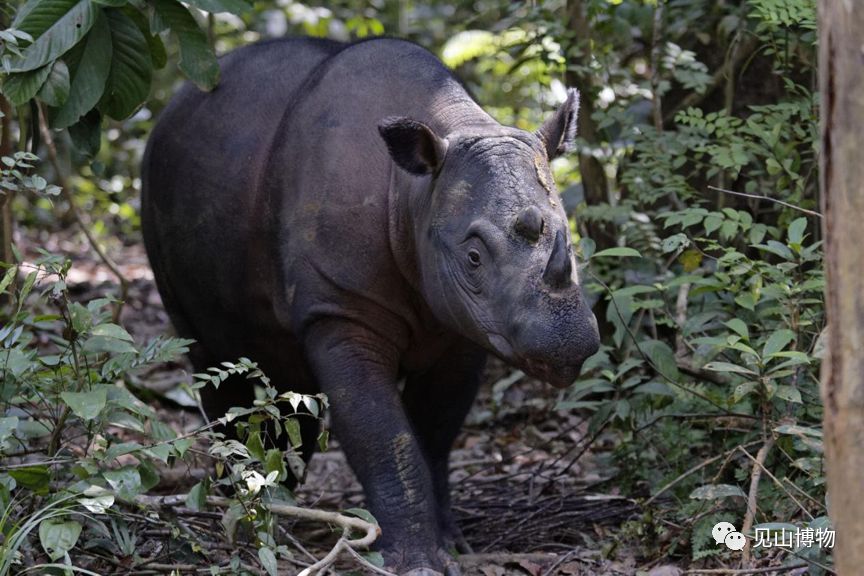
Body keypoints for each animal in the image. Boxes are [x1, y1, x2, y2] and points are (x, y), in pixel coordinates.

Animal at [142, 37, 600, 576]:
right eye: (472, 257)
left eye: (569, 239)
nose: (569, 341)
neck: (415, 194)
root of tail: (174, 103)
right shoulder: (341, 307)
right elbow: (382, 434)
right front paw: (417, 562)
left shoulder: (466, 324)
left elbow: (435, 431)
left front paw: (452, 546)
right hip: (155, 188)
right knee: (214, 360)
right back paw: (243, 505)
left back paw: (277, 502)